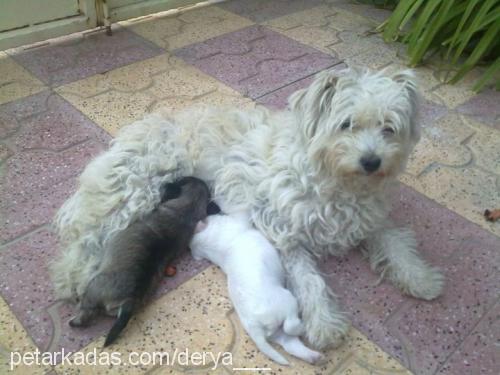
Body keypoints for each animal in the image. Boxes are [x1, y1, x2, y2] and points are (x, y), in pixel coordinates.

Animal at [68, 176, 217, 346]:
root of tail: (130, 300)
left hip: (93, 288)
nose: (169, 180)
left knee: (86, 311)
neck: (187, 210)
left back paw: (75, 318)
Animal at [189, 214, 322, 368]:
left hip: (277, 333)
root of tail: (255, 327)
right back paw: (304, 328)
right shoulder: (239, 220)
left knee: (291, 344)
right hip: (288, 303)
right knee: (291, 326)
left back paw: (314, 357)